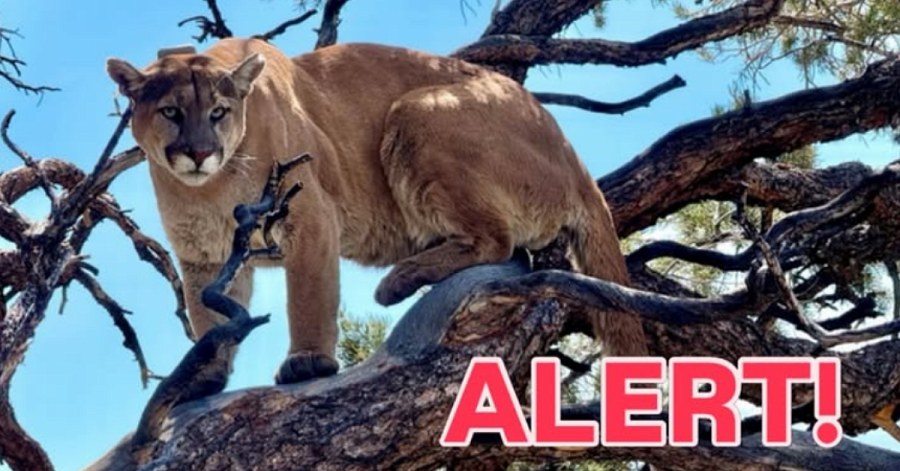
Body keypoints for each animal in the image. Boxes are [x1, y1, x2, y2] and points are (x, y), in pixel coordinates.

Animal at [106, 38, 648, 385]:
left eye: (218, 112)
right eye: (171, 112)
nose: (199, 153)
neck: (211, 190)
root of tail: (574, 158)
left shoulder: (310, 219)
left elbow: (309, 297)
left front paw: (308, 362)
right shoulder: (203, 255)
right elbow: (208, 316)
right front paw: (205, 373)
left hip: (419, 112)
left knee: (497, 241)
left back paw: (398, 282)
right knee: (510, 251)